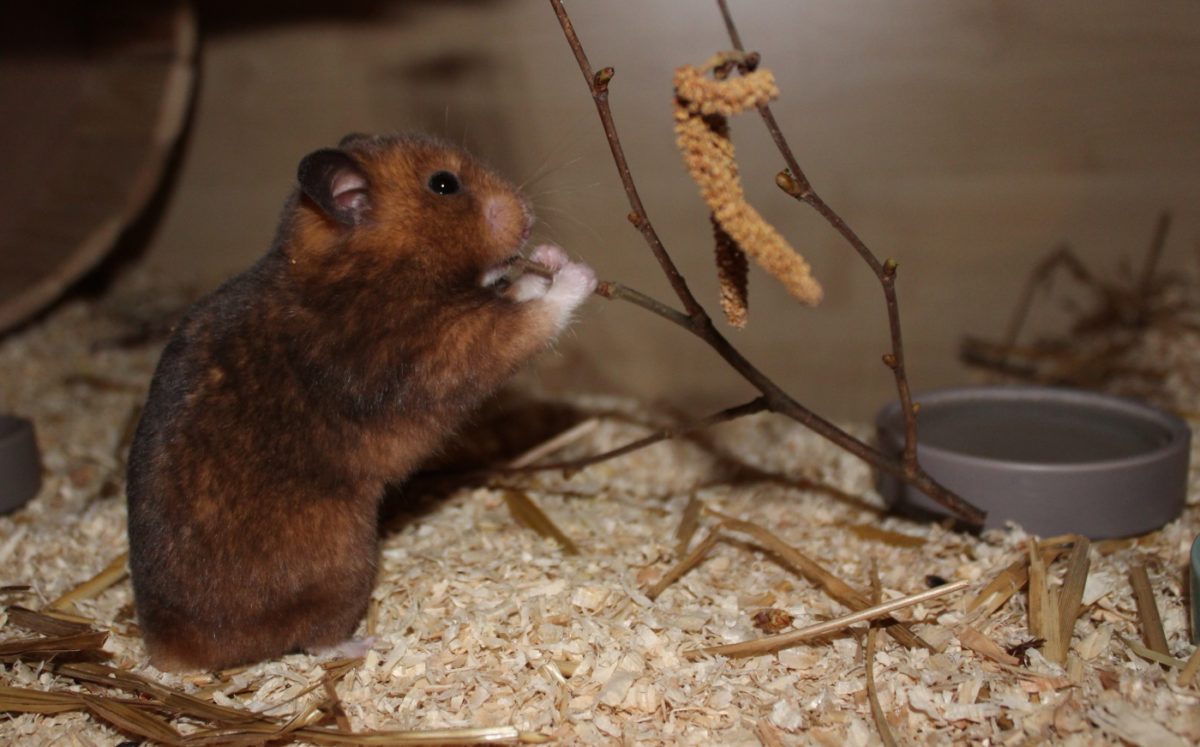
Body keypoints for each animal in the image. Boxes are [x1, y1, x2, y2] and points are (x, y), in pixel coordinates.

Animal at [125, 133, 596, 671]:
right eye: (444, 184)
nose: (531, 217)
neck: (360, 262)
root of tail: (167, 650)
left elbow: (518, 289)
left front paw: (549, 256)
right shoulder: (444, 345)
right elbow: (529, 320)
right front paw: (578, 271)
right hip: (343, 566)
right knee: (314, 639)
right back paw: (368, 643)